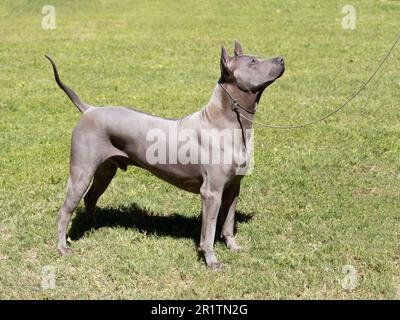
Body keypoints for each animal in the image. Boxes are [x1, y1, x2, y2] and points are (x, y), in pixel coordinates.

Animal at [47, 41, 284, 268]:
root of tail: (89, 109)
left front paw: (233, 246)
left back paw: (95, 227)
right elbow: (208, 233)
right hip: (81, 172)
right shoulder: (211, 193)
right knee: (65, 210)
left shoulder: (233, 188)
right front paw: (211, 260)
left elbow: (228, 224)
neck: (227, 122)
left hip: (106, 171)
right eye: (253, 62)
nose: (281, 59)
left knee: (90, 198)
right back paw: (62, 247)